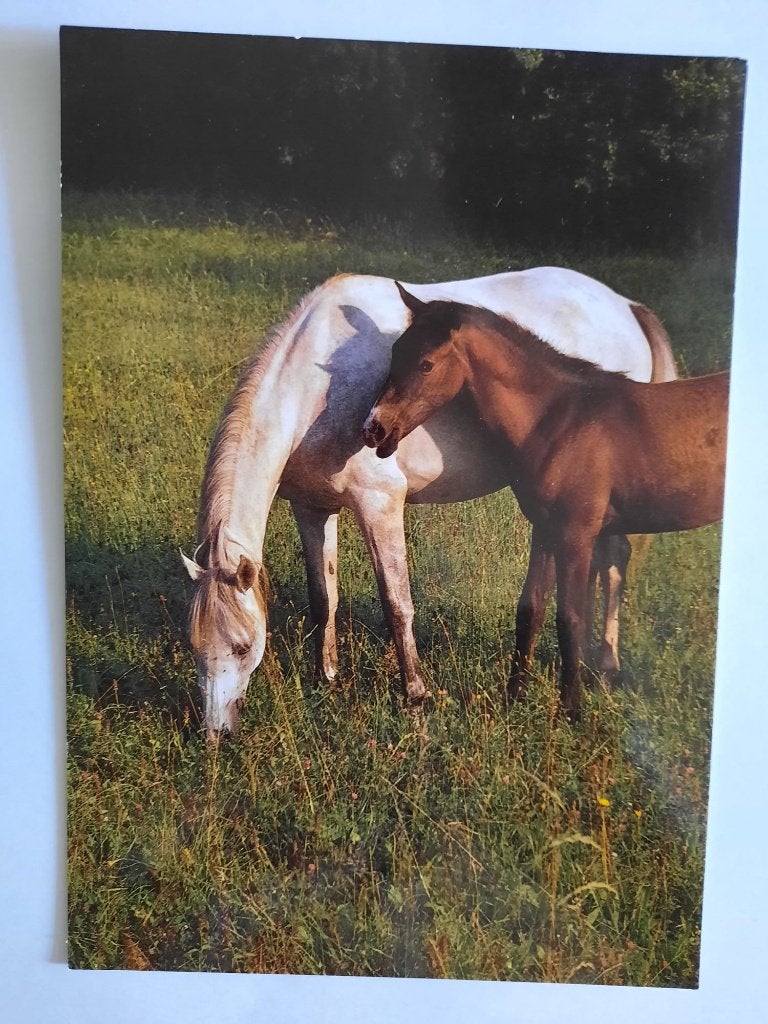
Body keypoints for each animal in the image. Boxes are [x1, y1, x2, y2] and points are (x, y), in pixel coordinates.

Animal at [181, 268, 677, 738]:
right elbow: (324, 598)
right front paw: (327, 680)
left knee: (615, 559)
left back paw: (606, 667)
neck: (316, 388)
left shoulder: (380, 504)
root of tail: (626, 307)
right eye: (195, 646)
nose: (216, 733)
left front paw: (416, 698)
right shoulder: (313, 509)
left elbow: (398, 606)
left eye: (243, 647)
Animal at [363, 285, 726, 719]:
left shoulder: (574, 532)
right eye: (395, 352)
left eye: (426, 364)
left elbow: (570, 616)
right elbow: (530, 608)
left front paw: (570, 711)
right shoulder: (545, 527)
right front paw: (512, 699)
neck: (559, 418)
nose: (373, 428)